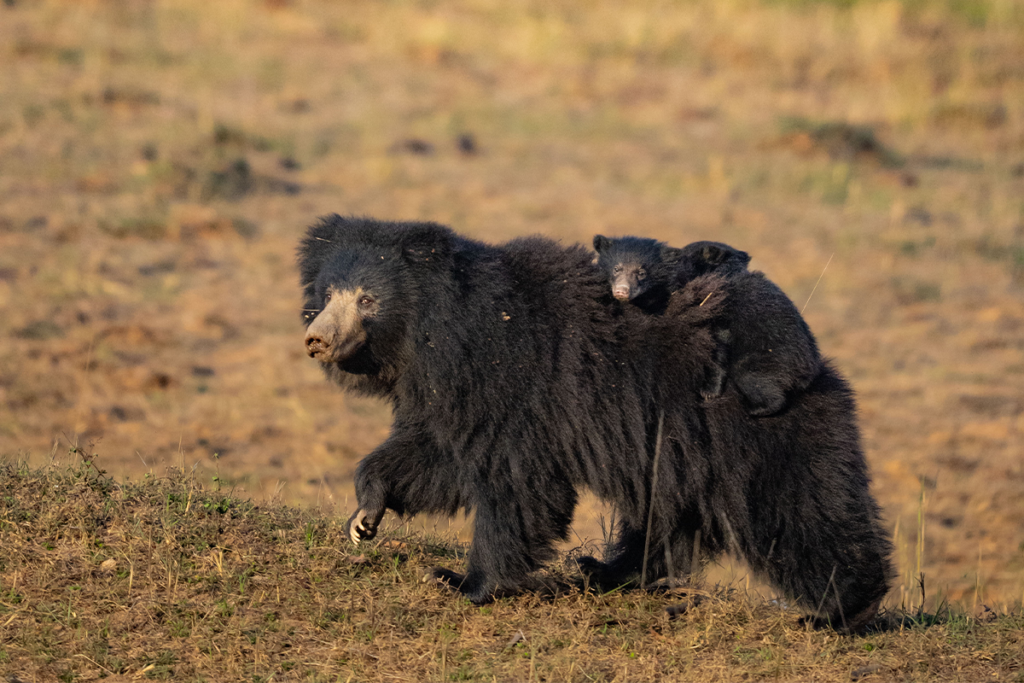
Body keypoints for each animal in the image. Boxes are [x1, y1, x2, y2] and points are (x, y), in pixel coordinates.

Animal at [593, 235, 823, 417]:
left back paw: (754, 410)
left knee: (758, 382)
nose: (622, 291)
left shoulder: (718, 314)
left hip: (764, 358)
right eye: (617, 269)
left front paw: (708, 392)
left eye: (641, 272)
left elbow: (716, 349)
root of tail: (808, 372)